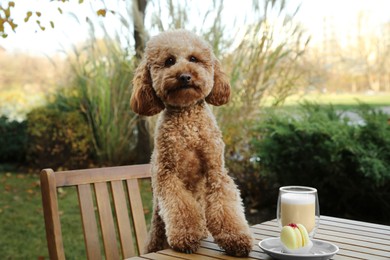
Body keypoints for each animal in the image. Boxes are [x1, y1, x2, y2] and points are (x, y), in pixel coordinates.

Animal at [130, 30, 253, 256]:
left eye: (194, 59)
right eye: (169, 61)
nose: (185, 76)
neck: (187, 119)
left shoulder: (215, 170)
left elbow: (225, 206)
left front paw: (236, 238)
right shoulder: (167, 174)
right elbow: (181, 207)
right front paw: (186, 237)